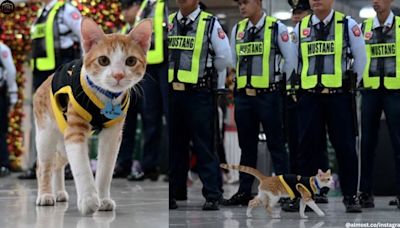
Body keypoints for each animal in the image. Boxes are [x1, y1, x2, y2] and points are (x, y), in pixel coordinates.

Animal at [32, 16, 152, 215]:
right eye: (103, 60)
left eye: (131, 61)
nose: (118, 75)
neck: (107, 97)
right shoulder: (74, 132)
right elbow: (81, 167)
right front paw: (89, 200)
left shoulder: (112, 135)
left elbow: (105, 169)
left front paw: (103, 199)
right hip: (46, 134)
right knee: (44, 166)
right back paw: (46, 195)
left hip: (62, 142)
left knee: (57, 163)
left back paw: (59, 192)